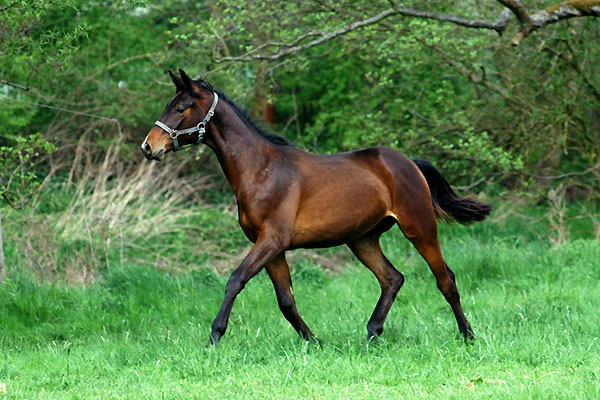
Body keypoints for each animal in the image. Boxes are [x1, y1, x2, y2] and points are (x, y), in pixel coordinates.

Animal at [142, 69, 492, 344]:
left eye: (181, 107)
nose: (149, 147)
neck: (261, 170)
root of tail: (409, 163)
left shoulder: (271, 240)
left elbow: (236, 280)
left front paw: (215, 335)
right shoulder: (272, 247)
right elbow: (286, 300)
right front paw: (314, 341)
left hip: (419, 228)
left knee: (445, 279)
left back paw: (467, 335)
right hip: (362, 239)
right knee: (392, 278)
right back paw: (372, 333)